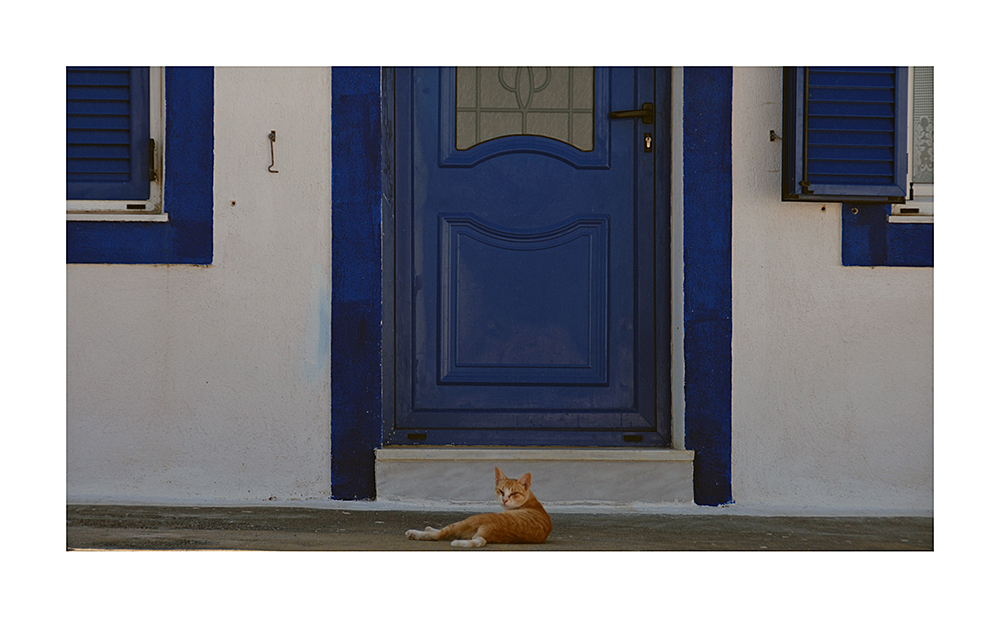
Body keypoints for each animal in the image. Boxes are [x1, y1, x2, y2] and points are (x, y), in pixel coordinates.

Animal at [402, 464, 552, 548]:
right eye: (501, 491)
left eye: (514, 493)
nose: (504, 500)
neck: (530, 499)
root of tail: (486, 533)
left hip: (469, 520)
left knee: (439, 534)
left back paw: (416, 533)